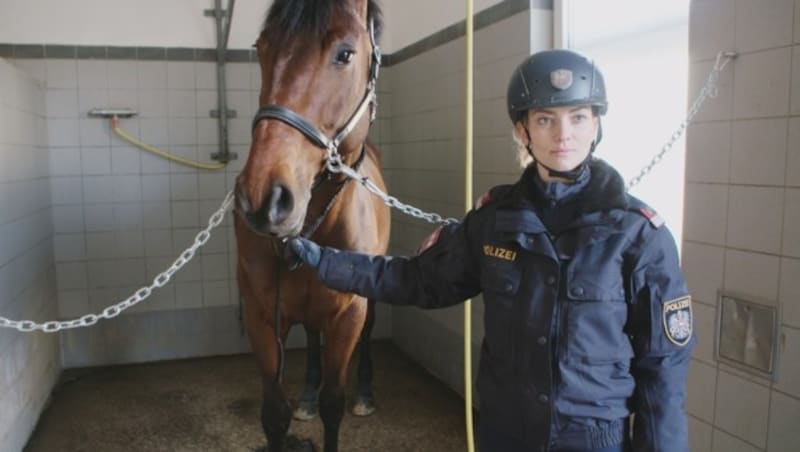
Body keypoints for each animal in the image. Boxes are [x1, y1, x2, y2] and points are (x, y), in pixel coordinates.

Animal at [233, 0, 390, 452]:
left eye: (345, 53)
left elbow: (333, 405)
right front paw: (298, 401)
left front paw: (346, 398)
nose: (263, 198)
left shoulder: (348, 316)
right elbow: (274, 413)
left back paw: (366, 393)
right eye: (262, 47)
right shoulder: (262, 317)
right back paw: (306, 392)